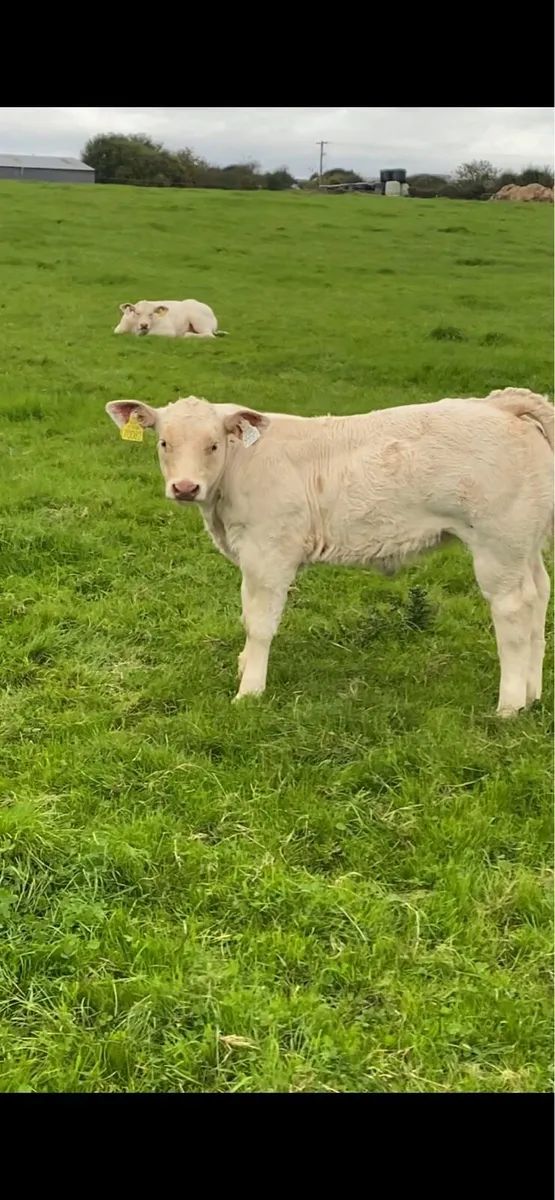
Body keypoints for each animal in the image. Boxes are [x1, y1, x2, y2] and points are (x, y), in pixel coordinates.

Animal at [105, 388, 554, 715]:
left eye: (213, 445)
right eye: (164, 442)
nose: (185, 487)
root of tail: (500, 404)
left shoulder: (269, 552)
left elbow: (259, 622)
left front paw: (249, 691)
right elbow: (248, 616)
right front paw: (245, 664)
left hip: (499, 545)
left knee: (513, 610)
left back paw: (509, 706)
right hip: (524, 545)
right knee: (539, 597)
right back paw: (532, 694)